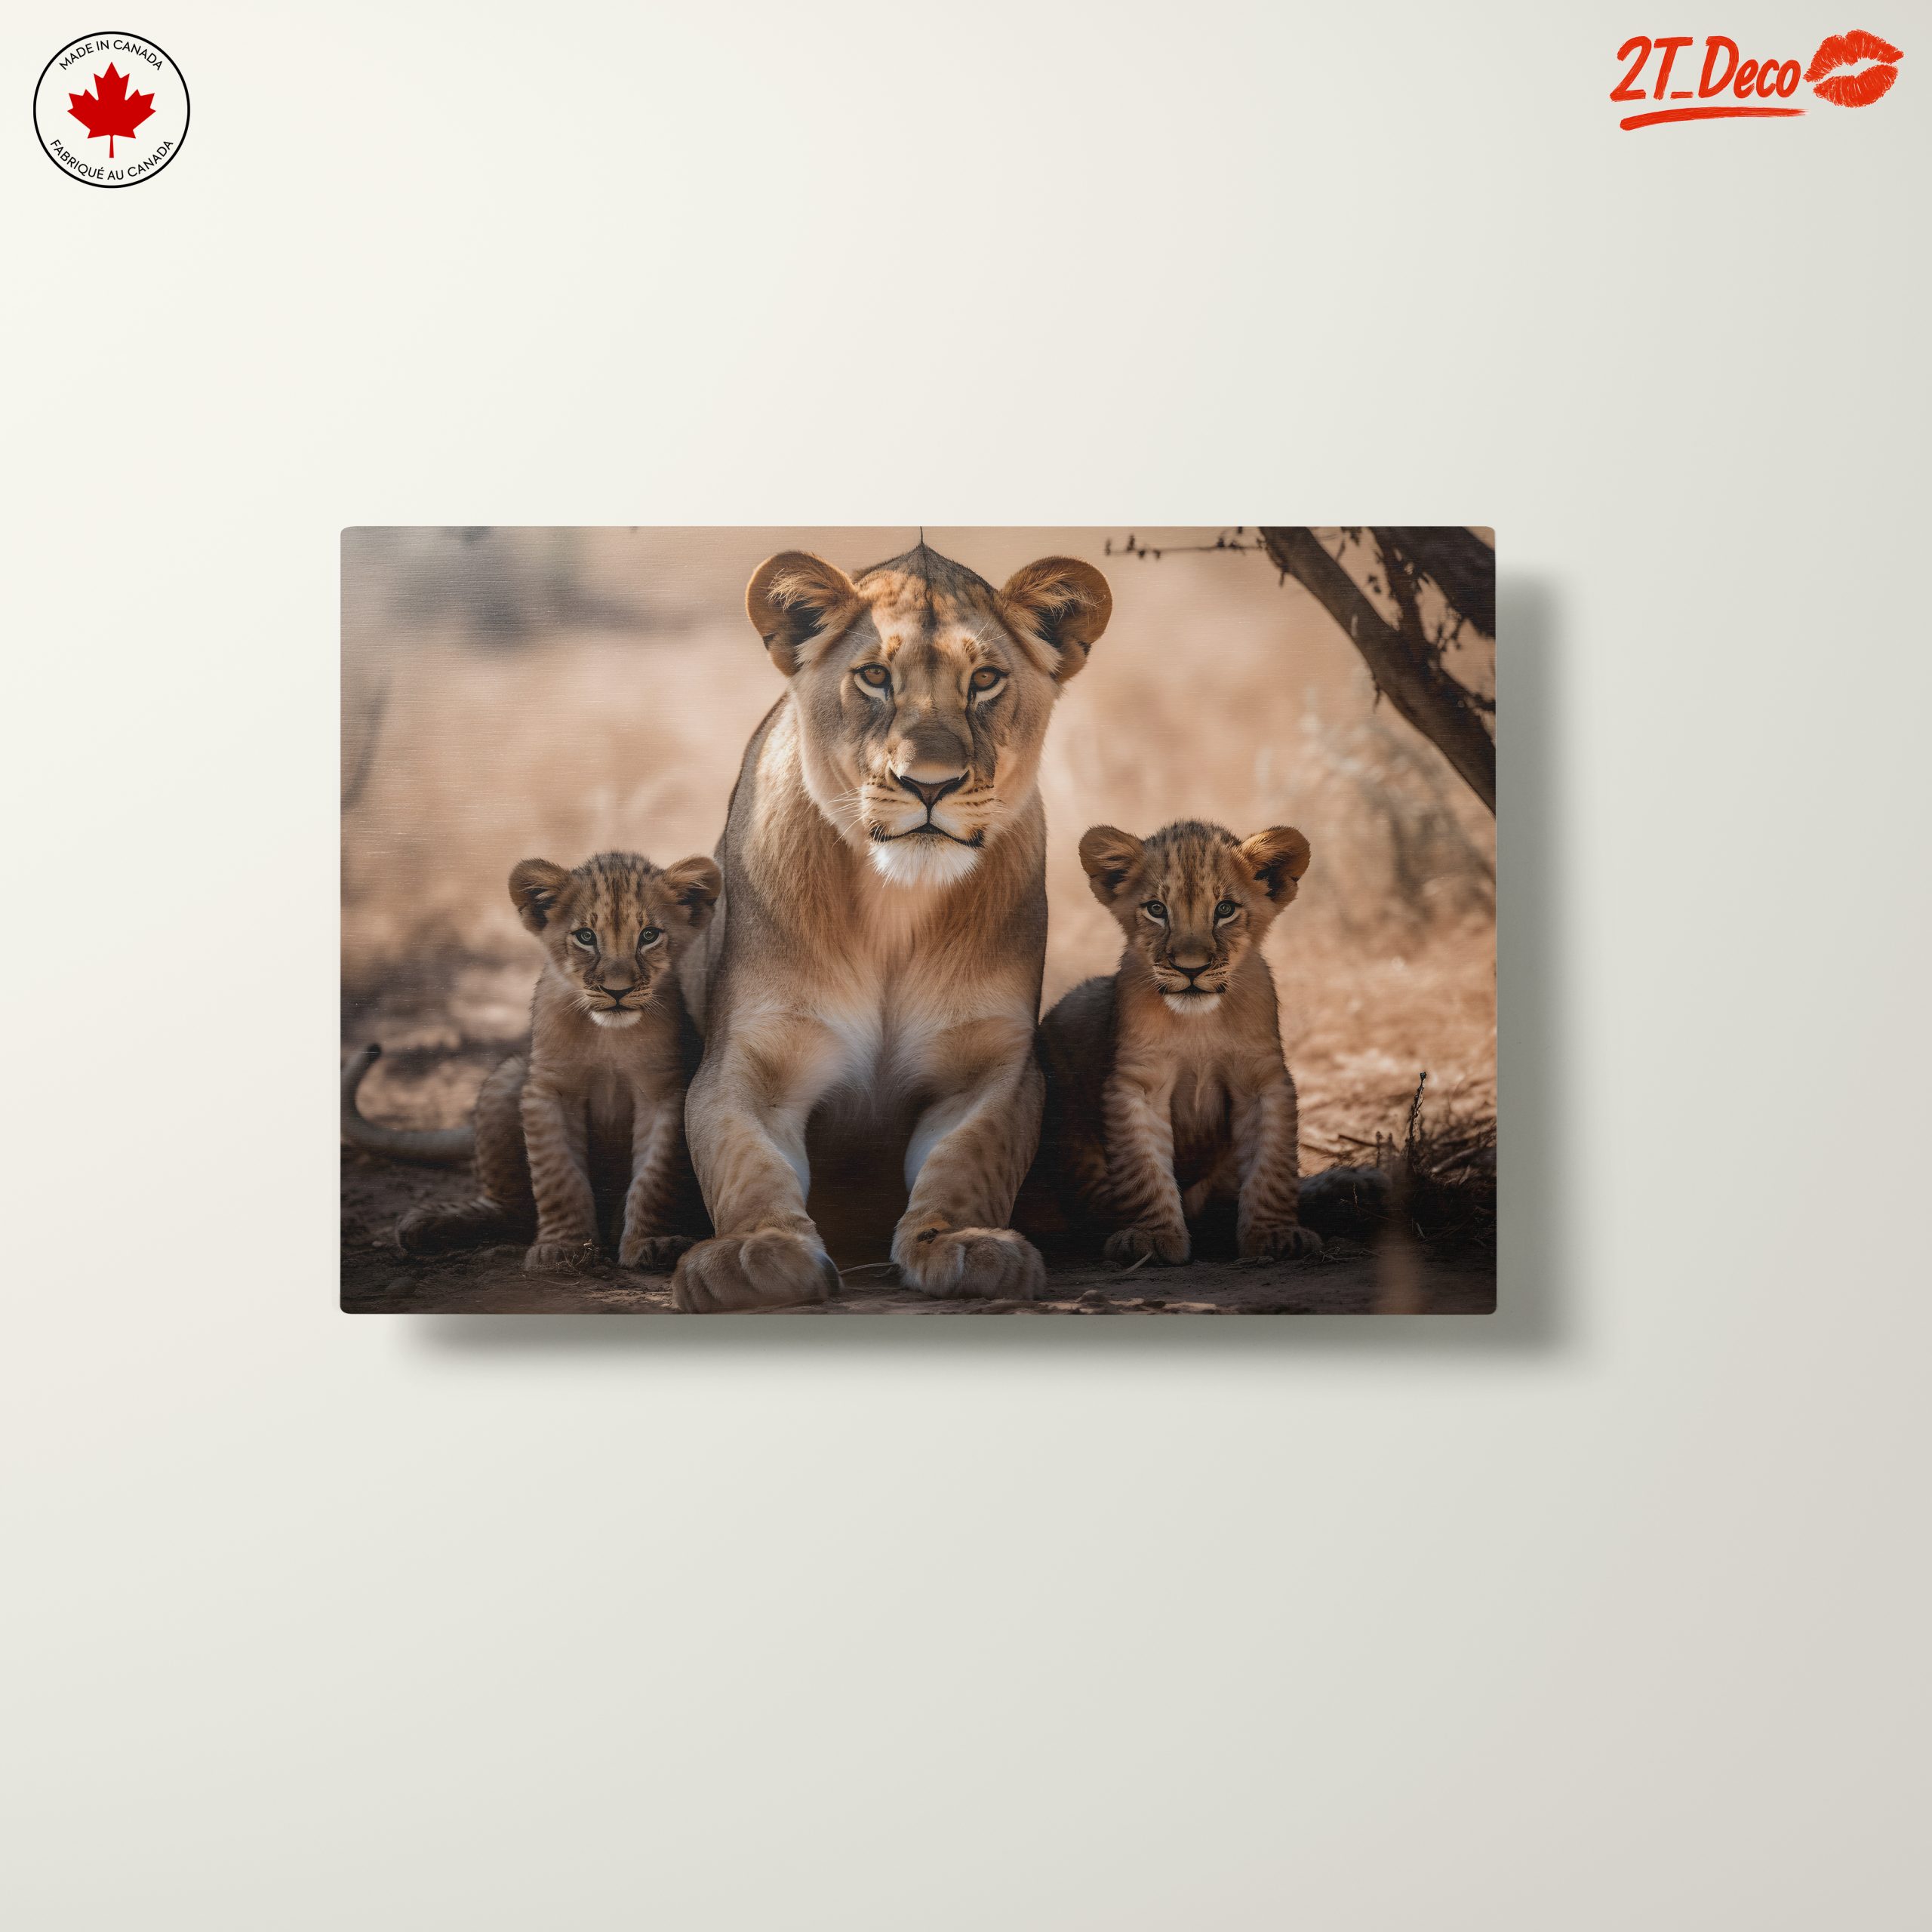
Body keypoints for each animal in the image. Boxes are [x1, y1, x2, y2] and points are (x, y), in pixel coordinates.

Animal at [341, 849, 720, 1272]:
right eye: (586, 937)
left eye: (649, 935)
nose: (617, 992)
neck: (608, 1034)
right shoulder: (548, 1088)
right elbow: (558, 1175)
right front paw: (563, 1247)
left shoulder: (663, 1091)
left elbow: (655, 1178)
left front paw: (649, 1242)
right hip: (507, 1078)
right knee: (508, 1208)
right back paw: (428, 1224)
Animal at [670, 540, 1111, 1311]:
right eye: (875, 676)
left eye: (985, 680)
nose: (929, 784)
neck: (893, 908)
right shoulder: (748, 1063)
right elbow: (745, 1162)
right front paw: (756, 1253)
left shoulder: (992, 1067)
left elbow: (967, 1159)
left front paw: (965, 1244)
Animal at [1035, 818, 1324, 1268]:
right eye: (1157, 909)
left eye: (1225, 910)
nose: (1191, 969)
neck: (1198, 1025)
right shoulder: (1138, 1083)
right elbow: (1143, 1168)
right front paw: (1151, 1238)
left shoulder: (1263, 1080)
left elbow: (1271, 1166)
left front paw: (1275, 1235)